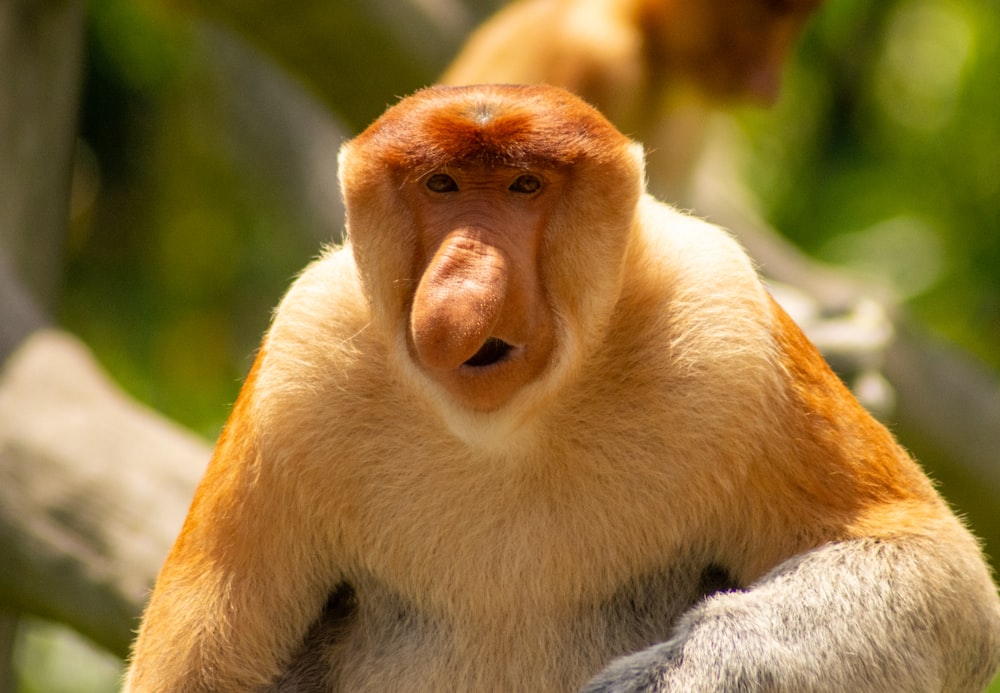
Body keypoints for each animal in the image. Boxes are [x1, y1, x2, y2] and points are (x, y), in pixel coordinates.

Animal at [125, 85, 1000, 692]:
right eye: (441, 185)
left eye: (524, 186)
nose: (466, 283)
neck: (511, 428)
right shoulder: (300, 361)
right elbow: (195, 668)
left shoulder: (726, 321)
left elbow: (936, 574)